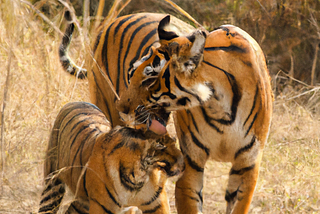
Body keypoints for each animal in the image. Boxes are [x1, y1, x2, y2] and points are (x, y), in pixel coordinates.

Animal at [38, 101, 184, 213]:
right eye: (160, 146)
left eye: (174, 140)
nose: (183, 162)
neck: (137, 177)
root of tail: (73, 102)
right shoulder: (101, 208)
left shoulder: (157, 204)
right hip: (52, 188)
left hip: (82, 202)